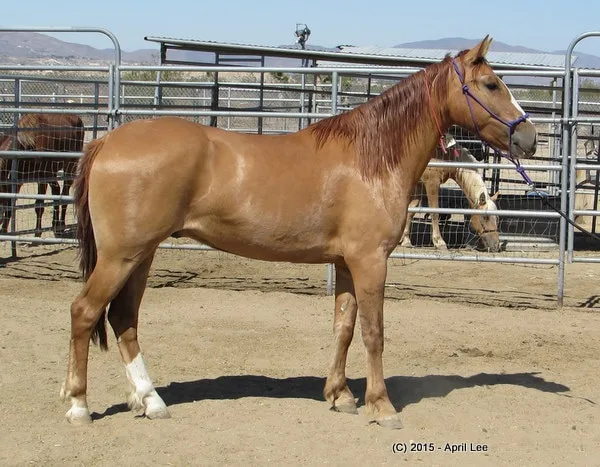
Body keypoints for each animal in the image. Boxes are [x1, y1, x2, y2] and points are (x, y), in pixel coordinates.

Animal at [62, 38, 540, 430]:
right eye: (491, 84)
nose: (530, 137)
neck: (371, 159)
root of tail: (105, 142)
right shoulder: (370, 261)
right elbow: (374, 332)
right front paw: (382, 406)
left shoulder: (346, 263)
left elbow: (344, 327)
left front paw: (340, 395)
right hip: (121, 256)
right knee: (85, 311)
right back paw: (79, 406)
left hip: (141, 256)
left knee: (123, 319)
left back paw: (149, 400)